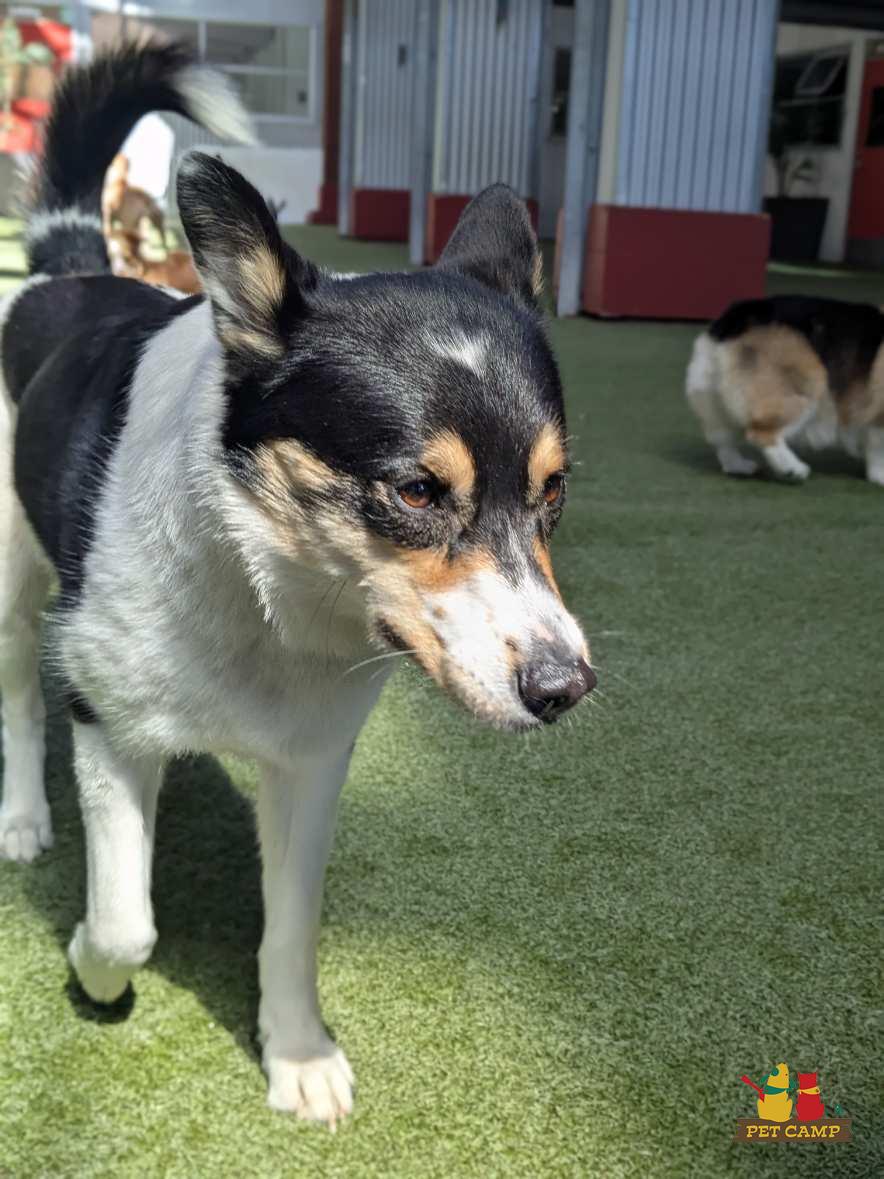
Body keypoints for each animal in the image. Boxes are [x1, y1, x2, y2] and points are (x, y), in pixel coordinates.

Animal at [0, 43, 595, 1125]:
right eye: (414, 490)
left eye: (553, 490)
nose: (562, 688)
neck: (264, 583)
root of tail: (70, 269)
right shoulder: (108, 727)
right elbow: (127, 923)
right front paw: (88, 964)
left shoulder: (313, 761)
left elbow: (292, 924)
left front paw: (298, 1051)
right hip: (15, 576)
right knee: (22, 696)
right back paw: (22, 816)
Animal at [686, 295, 884, 484]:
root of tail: (736, 317)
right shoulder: (877, 418)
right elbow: (877, 450)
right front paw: (879, 476)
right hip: (807, 387)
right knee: (761, 433)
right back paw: (793, 469)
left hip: (714, 399)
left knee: (722, 439)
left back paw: (739, 466)